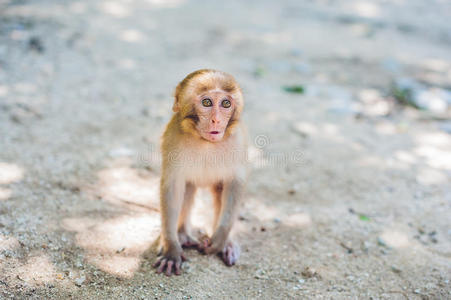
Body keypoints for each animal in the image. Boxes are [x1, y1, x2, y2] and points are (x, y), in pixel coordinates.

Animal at [154, 69, 247, 276]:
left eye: (226, 103)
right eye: (206, 102)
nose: (217, 120)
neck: (206, 142)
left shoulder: (237, 140)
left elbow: (235, 182)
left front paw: (220, 239)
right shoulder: (173, 137)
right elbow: (173, 187)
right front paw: (171, 248)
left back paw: (227, 243)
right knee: (187, 188)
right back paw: (181, 235)